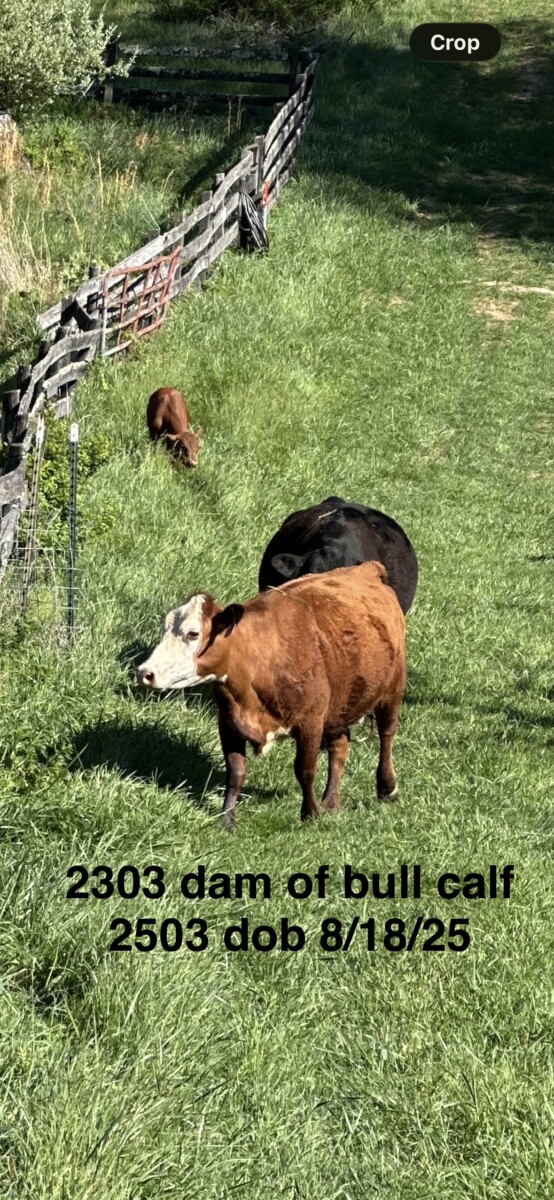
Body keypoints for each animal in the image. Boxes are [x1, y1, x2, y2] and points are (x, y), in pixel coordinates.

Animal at [136, 561, 406, 829]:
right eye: (164, 629)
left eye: (193, 633)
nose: (145, 672)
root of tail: (366, 568)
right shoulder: (228, 722)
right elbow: (235, 771)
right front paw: (227, 819)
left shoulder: (311, 722)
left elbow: (305, 770)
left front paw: (310, 814)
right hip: (341, 705)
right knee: (339, 747)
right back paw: (331, 801)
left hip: (392, 690)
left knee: (387, 734)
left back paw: (387, 787)